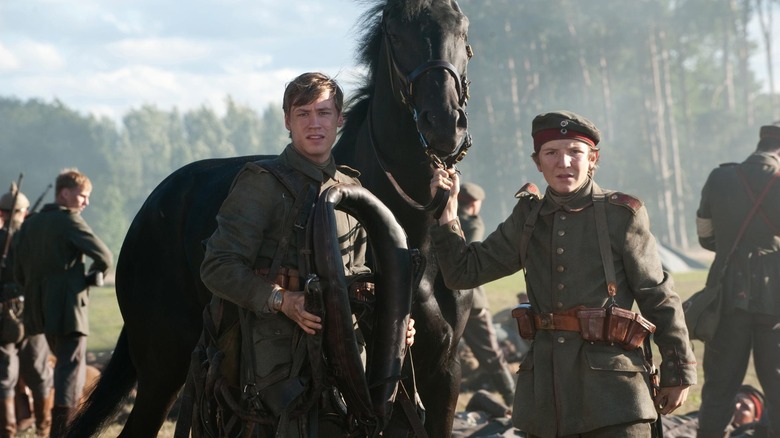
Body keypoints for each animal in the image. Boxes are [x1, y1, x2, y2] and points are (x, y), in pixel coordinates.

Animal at [67, 1, 472, 436]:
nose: (444, 123)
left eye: (462, 30)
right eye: (396, 34)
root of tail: (149, 211)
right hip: (161, 366)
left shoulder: (443, 371)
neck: (417, 238)